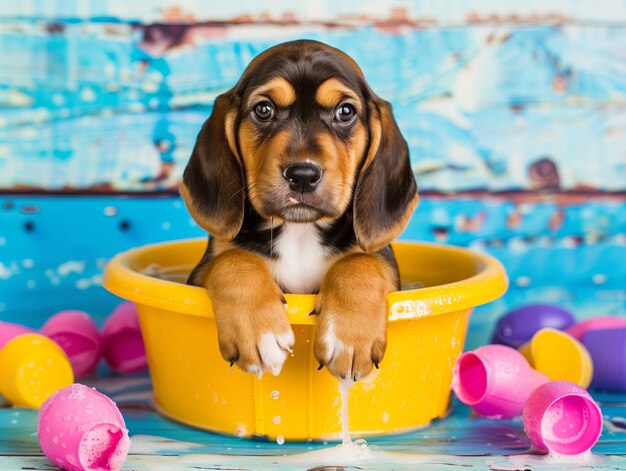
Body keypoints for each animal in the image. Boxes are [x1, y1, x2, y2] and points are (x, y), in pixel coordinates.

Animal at [178, 38, 416, 382]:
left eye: (345, 111)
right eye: (264, 109)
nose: (302, 175)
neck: (300, 231)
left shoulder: (381, 260)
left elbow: (361, 262)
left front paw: (349, 338)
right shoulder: (202, 270)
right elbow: (234, 259)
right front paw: (259, 331)